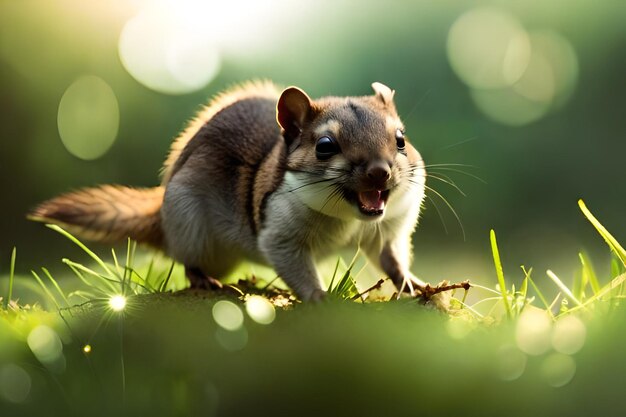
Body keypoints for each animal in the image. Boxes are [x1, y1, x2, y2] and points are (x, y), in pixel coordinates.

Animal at [31, 79, 426, 300]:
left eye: (401, 139)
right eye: (325, 146)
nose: (379, 172)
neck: (348, 219)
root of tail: (161, 218)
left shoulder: (387, 230)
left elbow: (390, 258)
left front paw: (413, 284)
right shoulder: (279, 234)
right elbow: (295, 265)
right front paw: (319, 297)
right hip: (190, 227)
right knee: (186, 262)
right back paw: (204, 281)